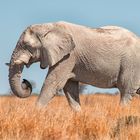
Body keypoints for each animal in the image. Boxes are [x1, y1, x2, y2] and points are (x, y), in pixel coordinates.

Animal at [8, 21, 140, 111]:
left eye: (27, 45)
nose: (25, 82)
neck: (48, 26)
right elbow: (69, 88)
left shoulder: (68, 56)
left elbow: (52, 84)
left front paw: (35, 114)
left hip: (131, 65)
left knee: (126, 91)